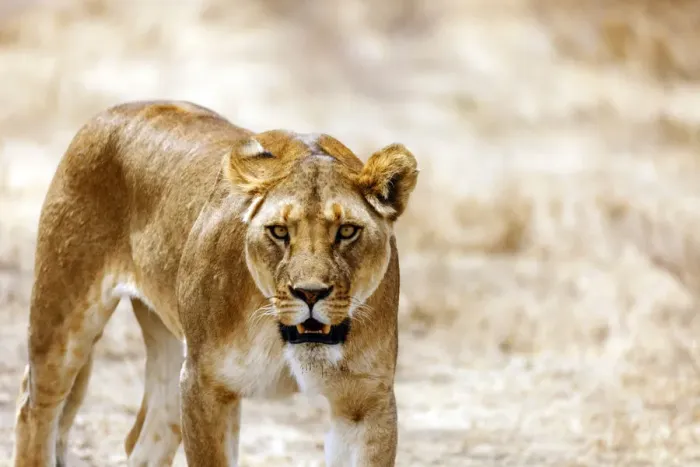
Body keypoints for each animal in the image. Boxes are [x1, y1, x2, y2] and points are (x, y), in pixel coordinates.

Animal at [11, 100, 418, 466]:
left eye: (347, 231)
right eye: (279, 232)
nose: (310, 293)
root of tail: (111, 111)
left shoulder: (364, 402)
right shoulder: (205, 385)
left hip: (168, 348)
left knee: (148, 438)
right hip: (63, 316)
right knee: (35, 410)